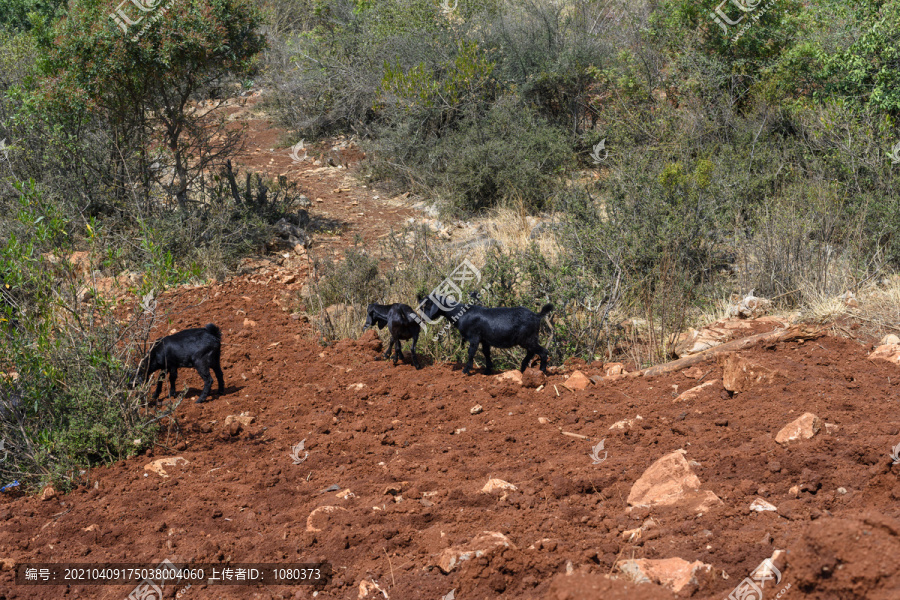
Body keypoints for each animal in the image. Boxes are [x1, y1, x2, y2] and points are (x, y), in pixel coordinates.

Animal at [420, 296, 552, 376]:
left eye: (428, 305)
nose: (422, 319)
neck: (462, 314)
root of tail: (537, 316)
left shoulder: (474, 337)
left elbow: (471, 352)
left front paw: (465, 371)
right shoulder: (484, 339)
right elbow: (486, 353)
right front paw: (487, 371)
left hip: (527, 339)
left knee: (543, 351)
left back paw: (542, 371)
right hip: (528, 339)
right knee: (531, 352)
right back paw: (523, 370)